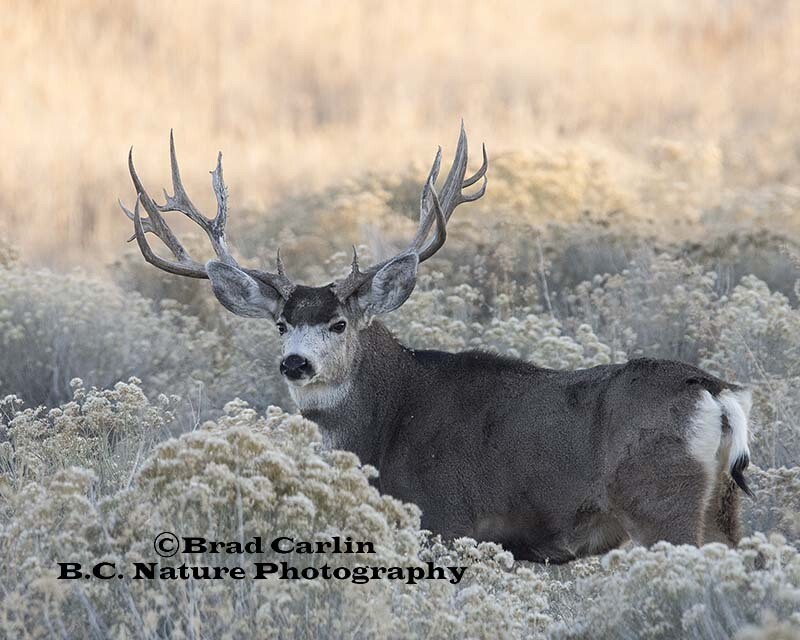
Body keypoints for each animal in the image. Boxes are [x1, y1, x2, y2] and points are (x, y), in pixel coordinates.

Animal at [120, 125, 754, 563]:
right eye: (280, 324)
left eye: (339, 324)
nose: (295, 363)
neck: (384, 429)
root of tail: (714, 391)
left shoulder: (445, 519)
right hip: (723, 509)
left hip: (660, 498)